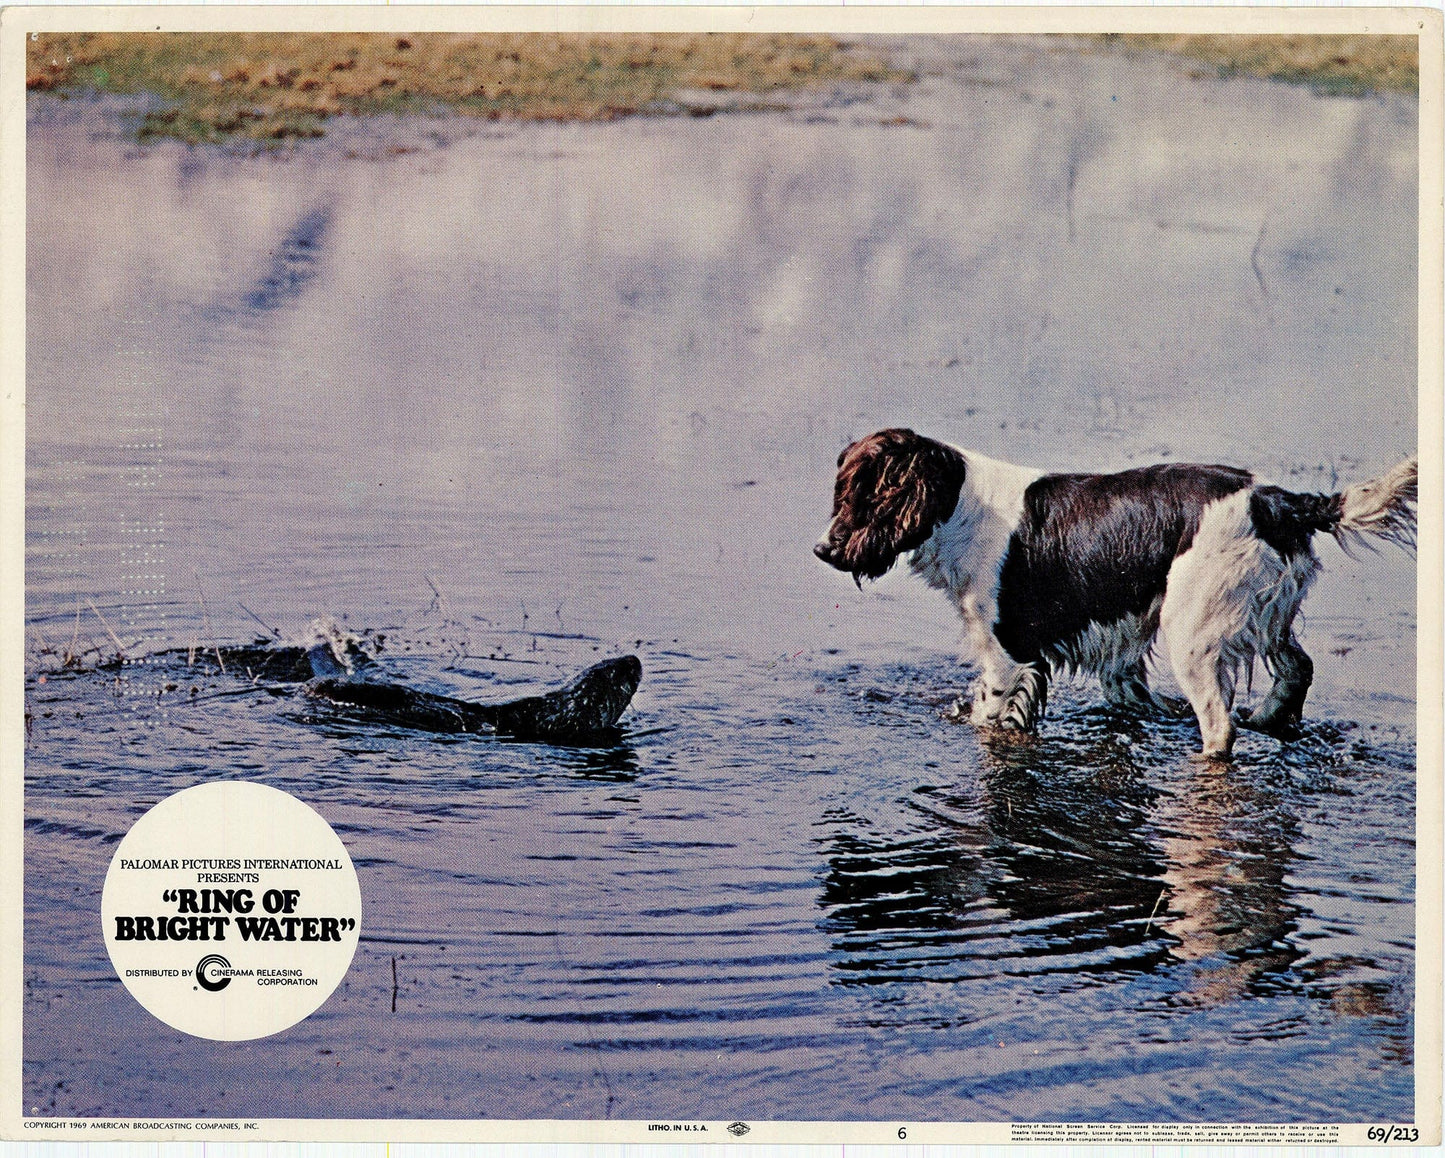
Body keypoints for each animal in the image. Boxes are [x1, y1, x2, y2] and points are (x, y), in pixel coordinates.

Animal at [820, 427, 1416, 757]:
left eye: (861, 494)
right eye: (840, 493)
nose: (823, 549)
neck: (961, 506)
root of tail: (1277, 501)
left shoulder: (1007, 655)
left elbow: (987, 717)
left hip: (1193, 631)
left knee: (1219, 725)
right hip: (1267, 613)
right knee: (1297, 669)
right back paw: (1268, 721)